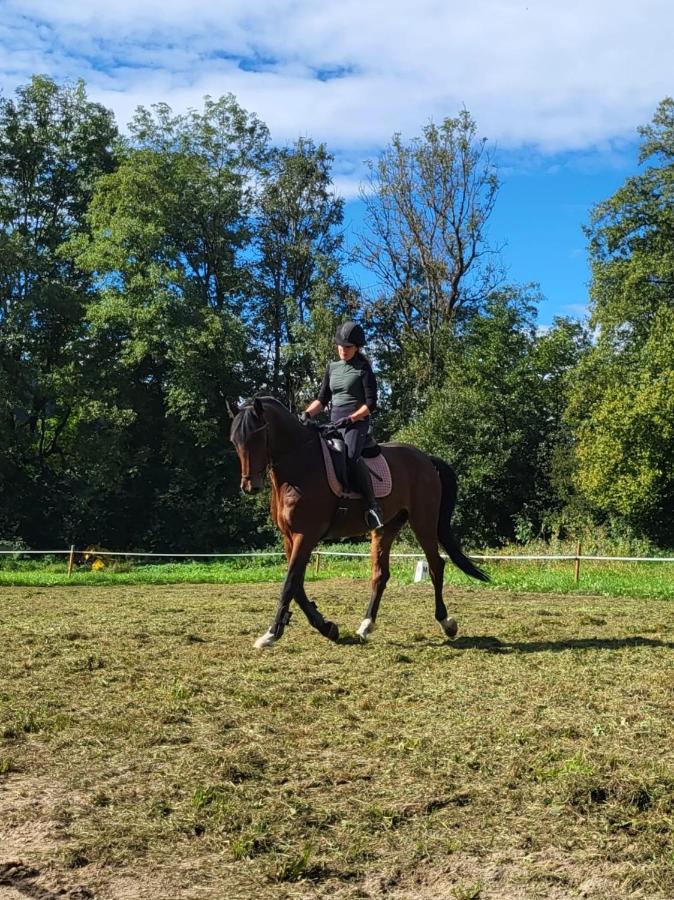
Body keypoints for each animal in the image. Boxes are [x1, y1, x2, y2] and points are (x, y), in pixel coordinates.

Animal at [228, 400, 486, 648]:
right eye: (235, 441)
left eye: (257, 436)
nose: (250, 487)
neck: (299, 468)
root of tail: (425, 459)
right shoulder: (289, 537)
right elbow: (298, 586)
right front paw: (327, 627)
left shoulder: (306, 535)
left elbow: (290, 584)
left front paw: (272, 633)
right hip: (385, 528)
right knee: (380, 574)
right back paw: (366, 625)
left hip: (423, 523)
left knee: (435, 566)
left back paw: (447, 623)